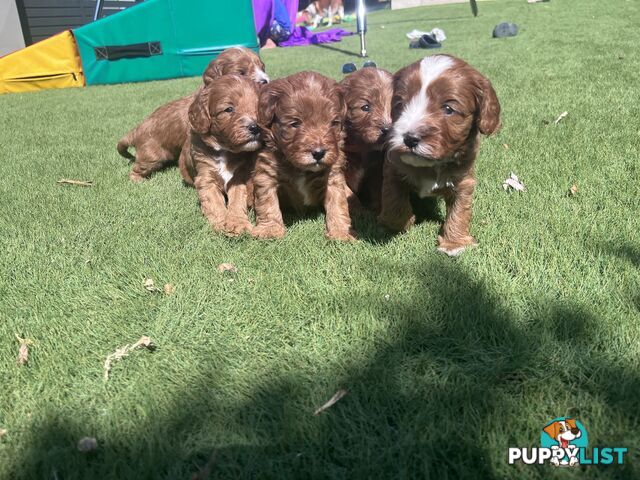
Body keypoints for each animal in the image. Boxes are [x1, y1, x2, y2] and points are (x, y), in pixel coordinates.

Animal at [117, 47, 268, 182]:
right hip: (151, 156)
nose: (265, 81)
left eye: (263, 68)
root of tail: (137, 128)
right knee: (137, 169)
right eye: (241, 72)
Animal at [178, 74, 262, 236]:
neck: (225, 150)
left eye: (258, 106)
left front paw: (237, 223)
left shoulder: (238, 177)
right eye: (229, 109)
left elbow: (237, 201)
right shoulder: (205, 177)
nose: (256, 127)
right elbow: (214, 203)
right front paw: (223, 222)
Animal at [251, 71, 356, 242]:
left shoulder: (333, 177)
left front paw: (341, 232)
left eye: (333, 123)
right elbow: (267, 203)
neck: (299, 168)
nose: (319, 153)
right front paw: (270, 230)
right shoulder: (266, 174)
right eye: (295, 123)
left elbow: (338, 204)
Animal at [340, 65, 396, 212]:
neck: (363, 148)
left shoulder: (376, 169)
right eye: (365, 107)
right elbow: (346, 192)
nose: (388, 130)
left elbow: (377, 189)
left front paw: (377, 207)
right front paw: (357, 210)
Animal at [378, 54, 502, 256]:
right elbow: (394, 202)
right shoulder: (392, 168)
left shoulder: (463, 181)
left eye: (448, 109)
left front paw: (454, 243)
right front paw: (399, 222)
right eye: (400, 105)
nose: (409, 139)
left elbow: (459, 211)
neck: (431, 164)